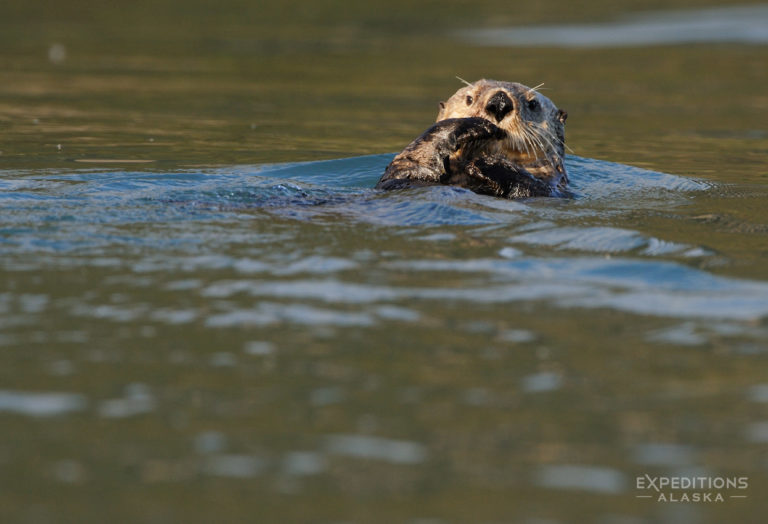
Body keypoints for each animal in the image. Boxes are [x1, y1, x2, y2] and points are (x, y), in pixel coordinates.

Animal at [375, 79, 568, 198]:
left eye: (533, 104)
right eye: (469, 98)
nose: (499, 103)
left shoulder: (554, 188)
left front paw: (487, 163)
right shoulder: (403, 178)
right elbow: (404, 170)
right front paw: (471, 125)